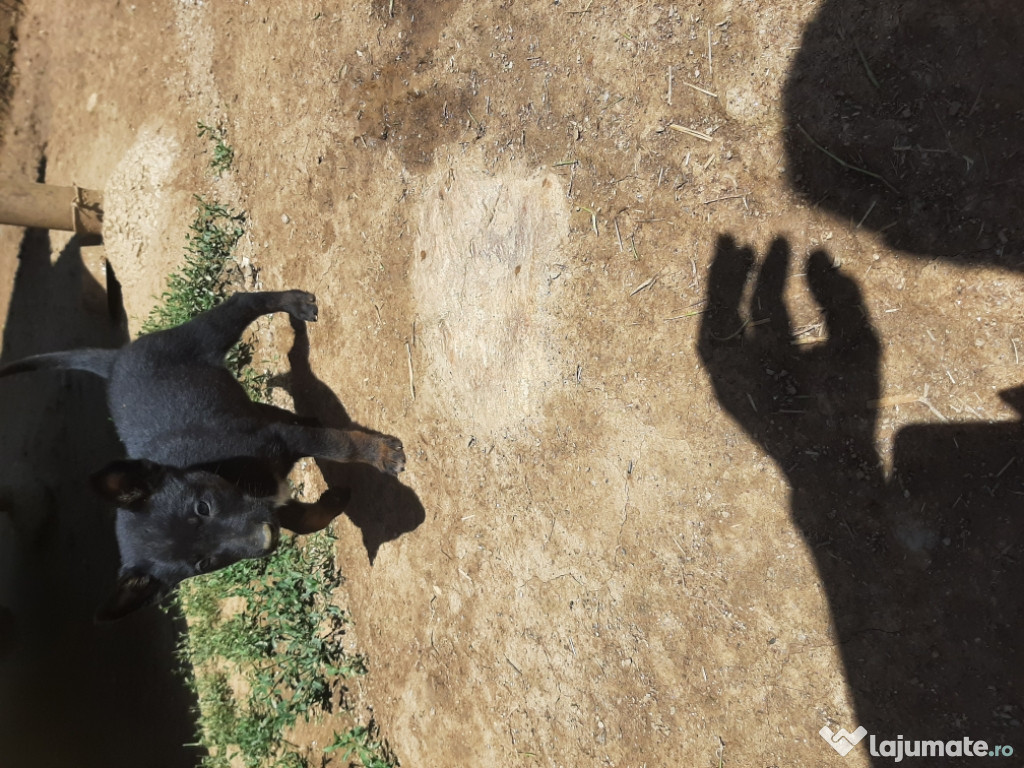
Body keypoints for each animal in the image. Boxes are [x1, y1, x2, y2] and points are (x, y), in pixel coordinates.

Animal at [0, 288, 403, 618]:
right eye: (203, 563)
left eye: (202, 507)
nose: (265, 540)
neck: (228, 473)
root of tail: (115, 360)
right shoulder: (271, 498)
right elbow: (304, 519)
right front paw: (333, 501)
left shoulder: (280, 440)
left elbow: (340, 445)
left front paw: (381, 454)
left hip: (204, 336)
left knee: (243, 302)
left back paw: (295, 304)